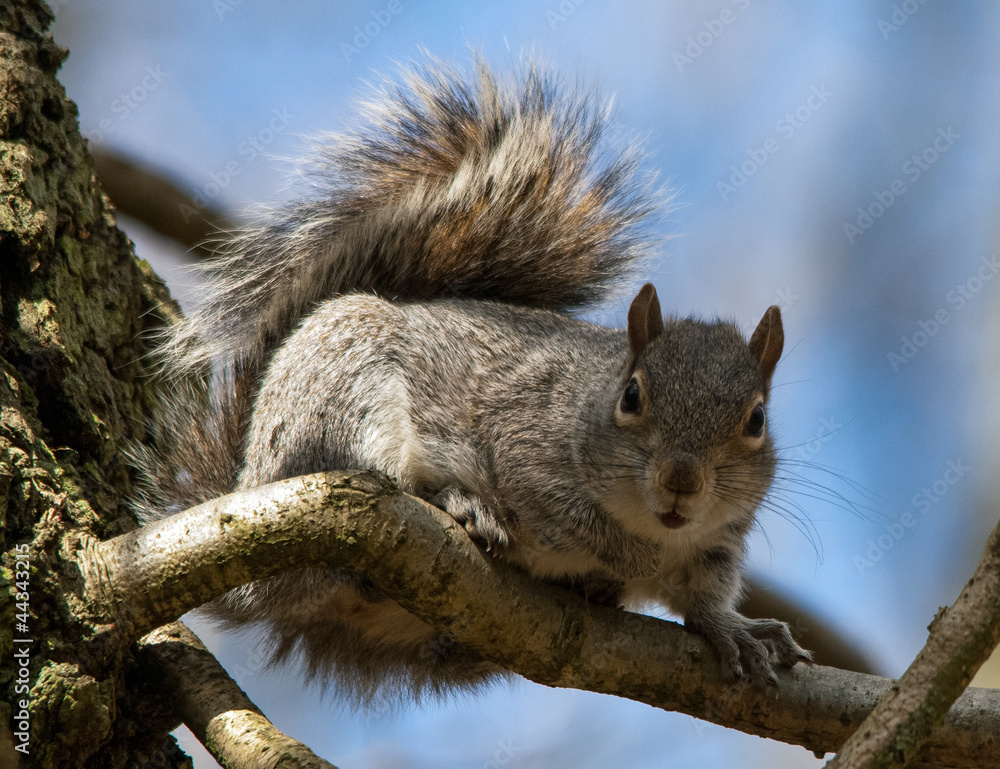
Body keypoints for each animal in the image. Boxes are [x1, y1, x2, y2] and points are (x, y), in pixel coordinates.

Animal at [134, 59, 810, 704]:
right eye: (633, 396)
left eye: (757, 420)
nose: (681, 483)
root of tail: (250, 480)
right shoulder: (525, 447)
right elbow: (574, 516)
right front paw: (630, 556)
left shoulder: (718, 540)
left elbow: (704, 592)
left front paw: (732, 628)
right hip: (340, 398)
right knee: (377, 481)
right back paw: (459, 504)